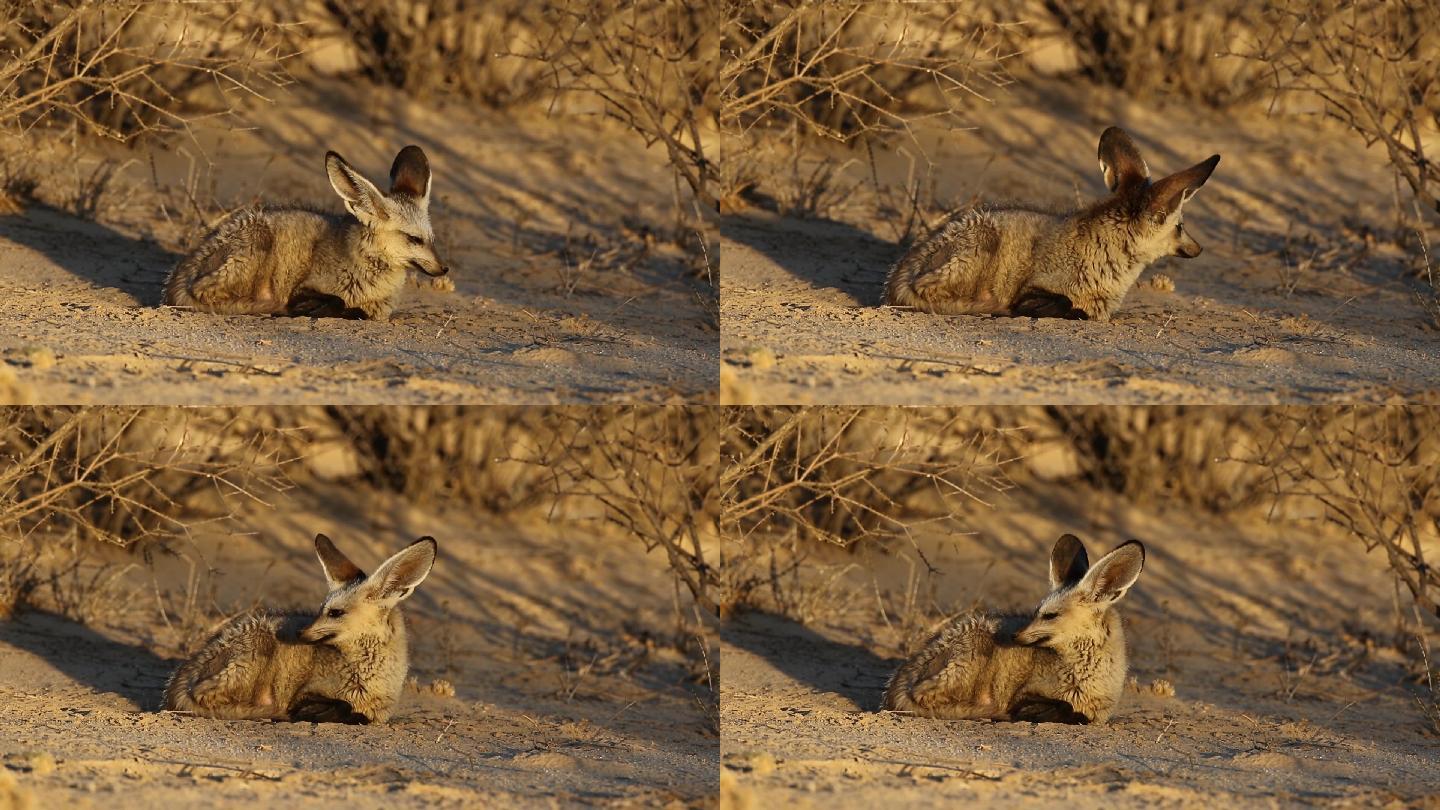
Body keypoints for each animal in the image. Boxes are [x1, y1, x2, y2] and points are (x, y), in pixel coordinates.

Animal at [881, 124, 1221, 319]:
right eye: (1180, 226)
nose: (1200, 249)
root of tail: (899, 273)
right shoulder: (1036, 286)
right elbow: (1068, 305)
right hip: (982, 243)